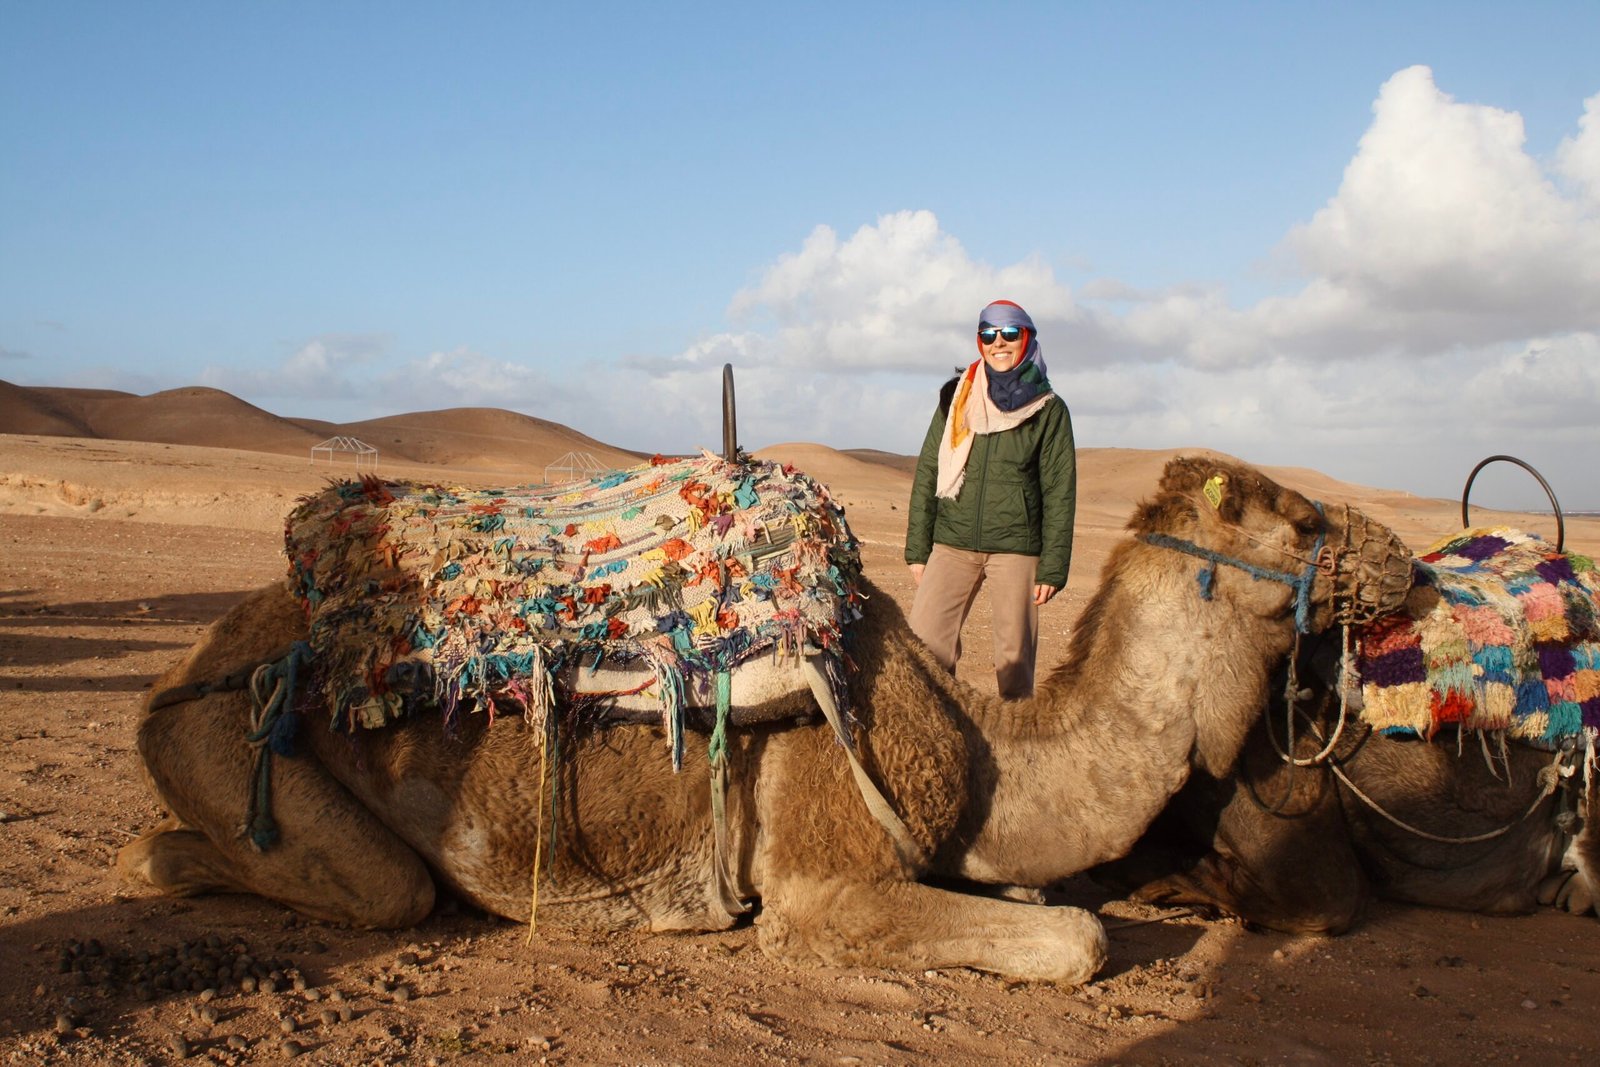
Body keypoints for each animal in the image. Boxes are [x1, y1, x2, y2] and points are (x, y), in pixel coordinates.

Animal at [117, 456, 1413, 983]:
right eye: (1304, 523)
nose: (1408, 562)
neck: (990, 752)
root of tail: (180, 667)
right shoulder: (821, 875)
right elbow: (1079, 938)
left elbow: (1048, 899)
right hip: (225, 739)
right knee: (366, 883)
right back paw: (158, 861)